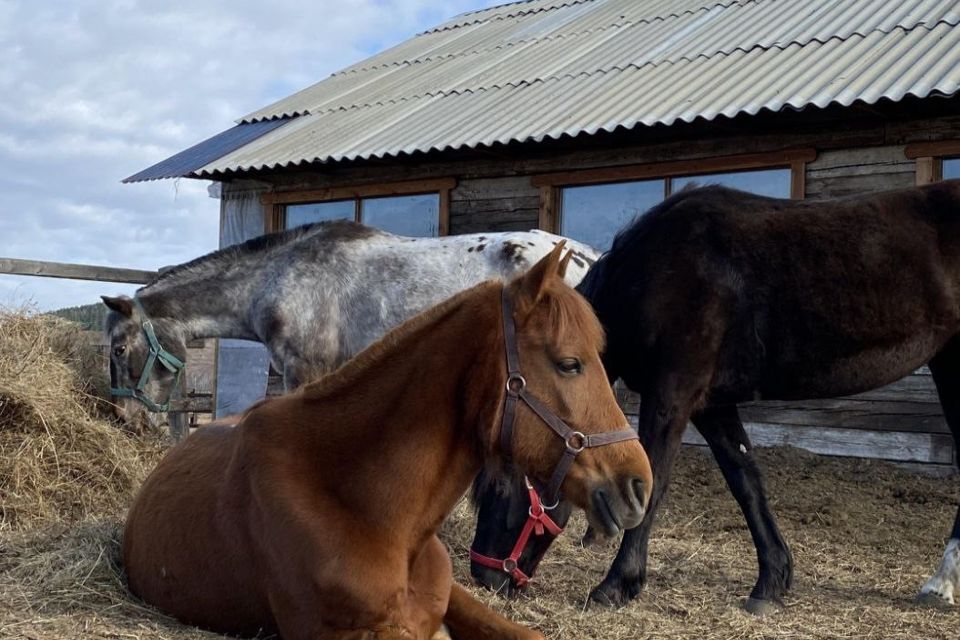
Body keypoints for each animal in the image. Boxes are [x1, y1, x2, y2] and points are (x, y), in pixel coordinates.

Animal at [468, 178, 960, 612]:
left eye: (504, 484)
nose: (485, 576)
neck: (657, 272)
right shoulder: (711, 405)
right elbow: (746, 482)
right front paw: (771, 582)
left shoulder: (673, 394)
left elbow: (655, 481)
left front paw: (616, 585)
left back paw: (940, 585)